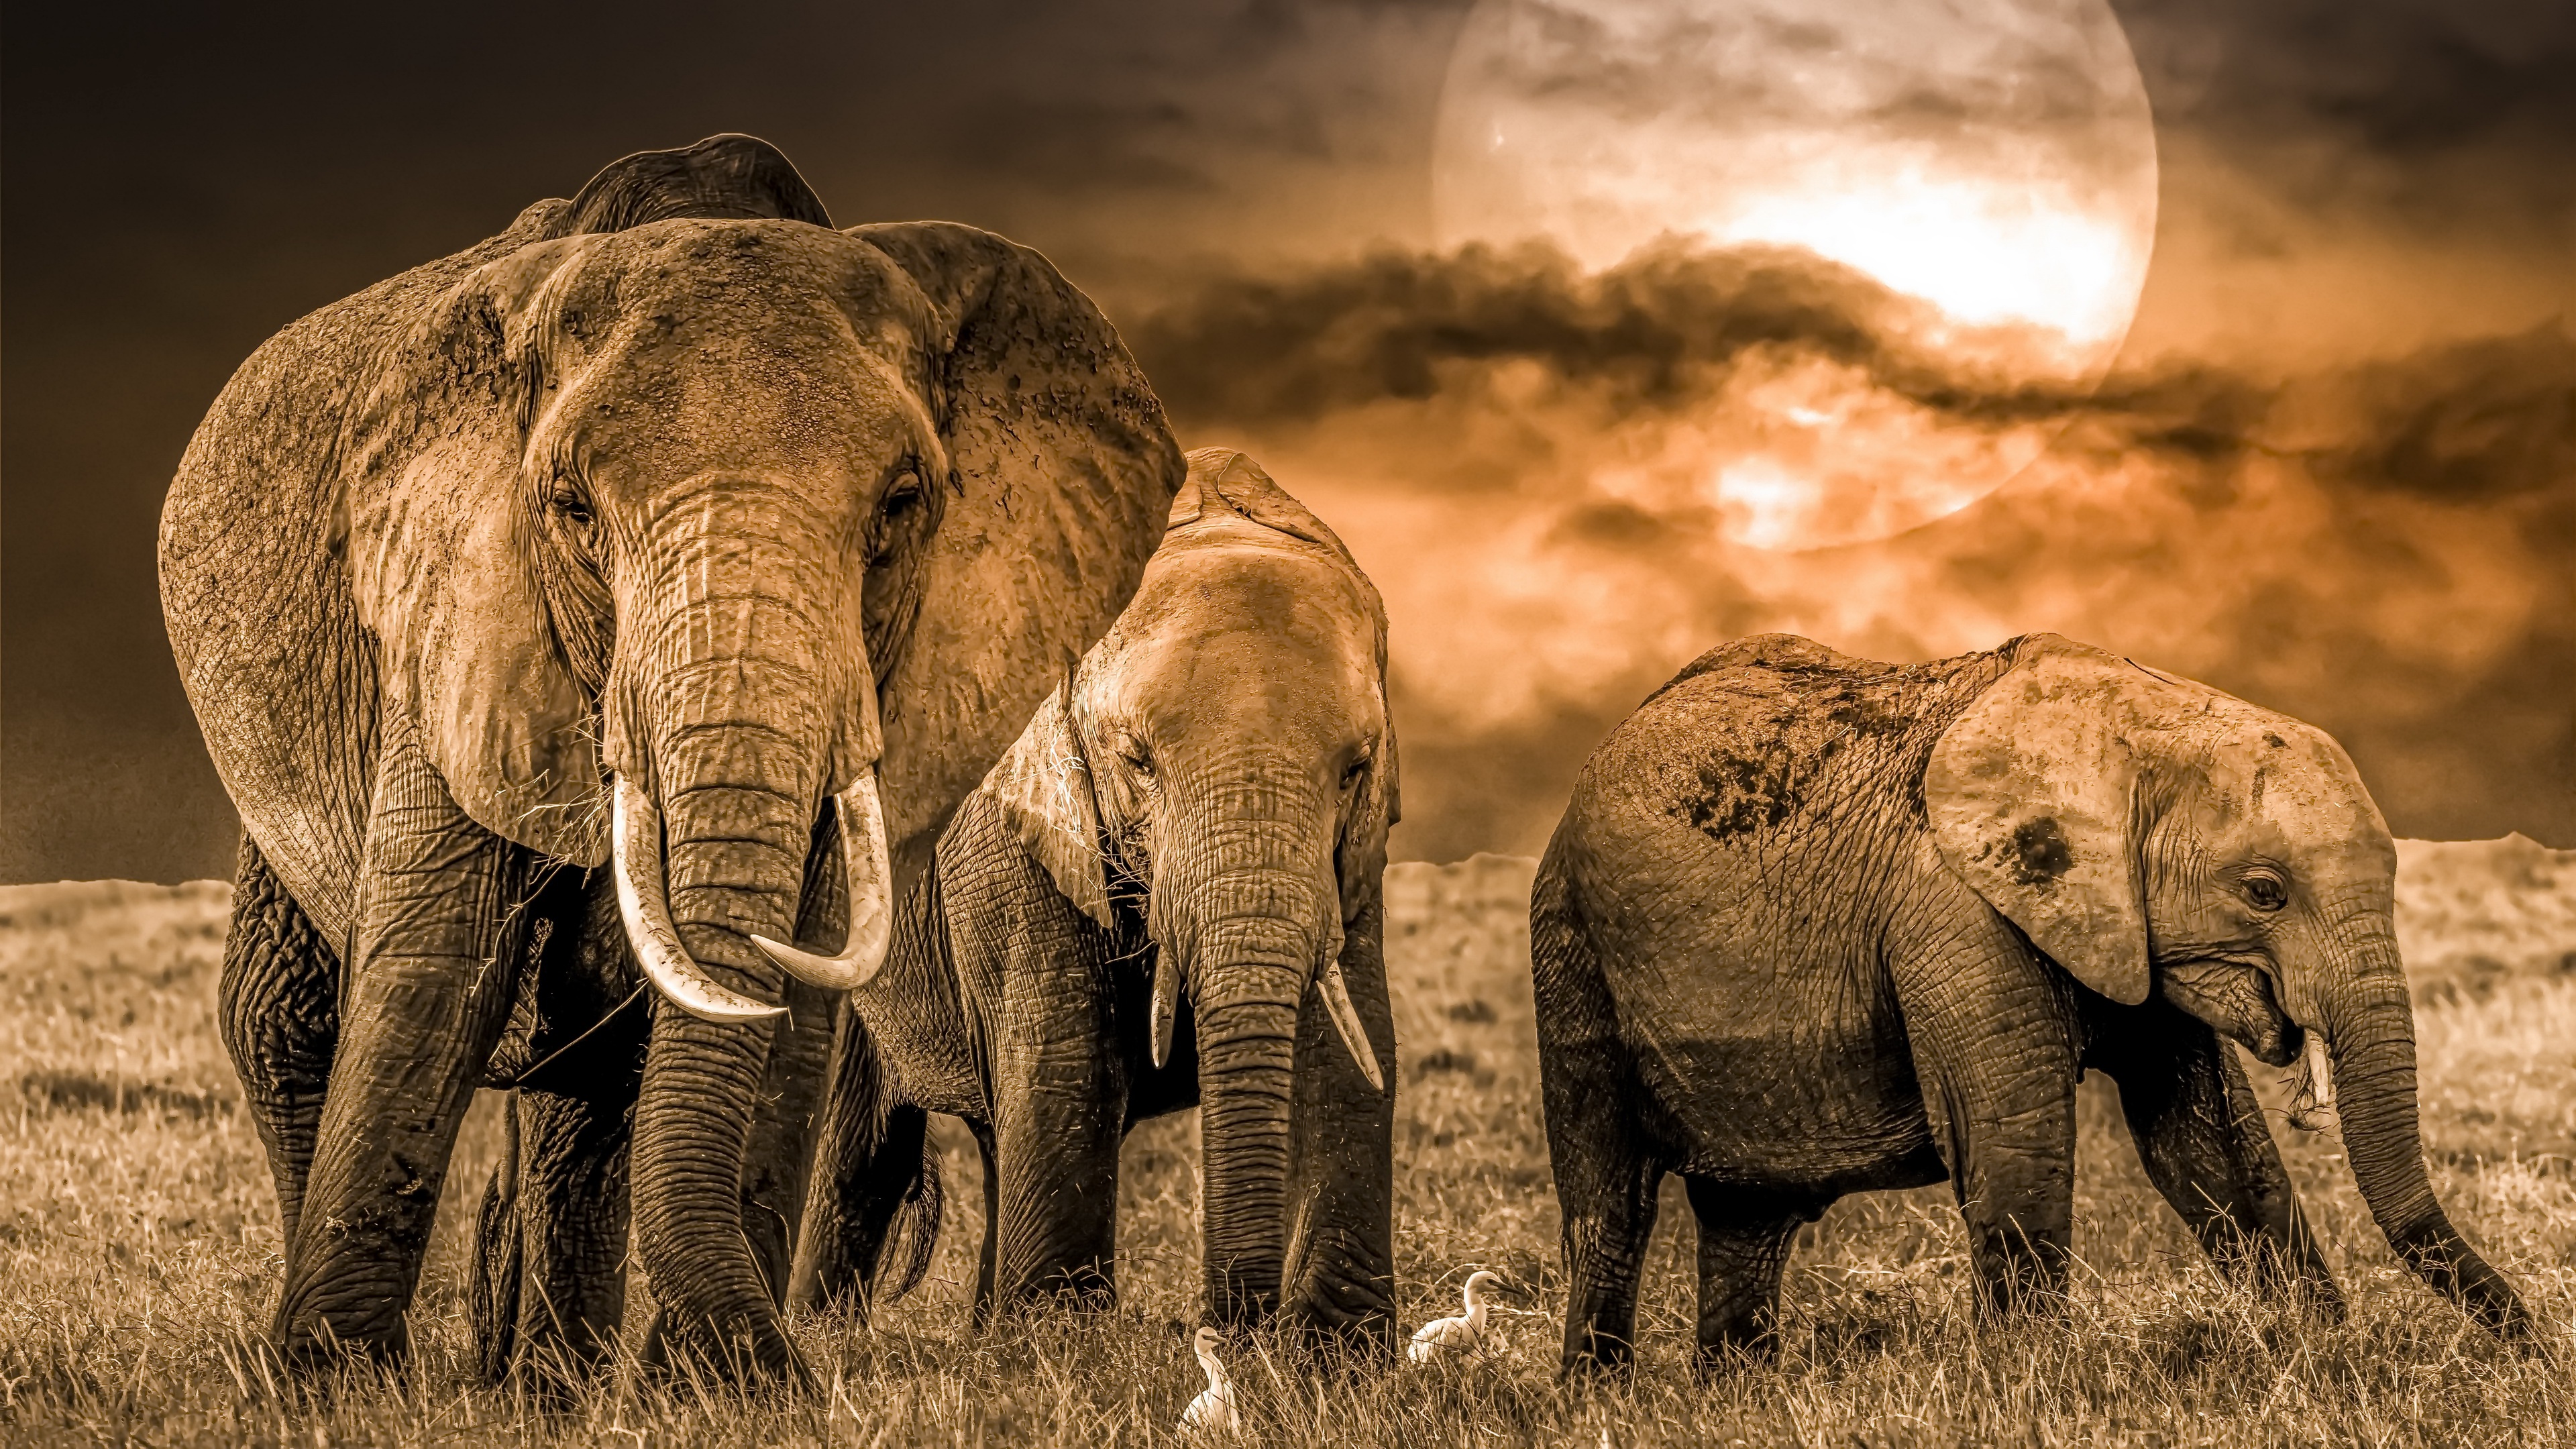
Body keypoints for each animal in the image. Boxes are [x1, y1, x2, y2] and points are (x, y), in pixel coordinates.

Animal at [150, 132, 1179, 1371]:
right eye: (572, 510)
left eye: (899, 507)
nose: (769, 1361)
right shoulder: (454, 610)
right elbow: (436, 957)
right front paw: (330, 1383)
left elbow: (793, 991)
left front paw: (710, 1384)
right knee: (287, 1019)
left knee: (578, 1086)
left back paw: (548, 1385)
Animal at [788, 448, 1401, 1340]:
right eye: (1137, 761)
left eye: (1356, 769)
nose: (1230, 1327)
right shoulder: (1013, 834)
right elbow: (1064, 1059)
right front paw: (1063, 1345)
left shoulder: (1353, 861)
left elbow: (1348, 1048)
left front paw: (1335, 1355)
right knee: (861, 1153)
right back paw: (826, 1337)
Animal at [1525, 629, 2534, 1361]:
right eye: (2263, 891)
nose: (2531, 1344)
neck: (2142, 721)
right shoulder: (1955, 908)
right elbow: (2013, 1138)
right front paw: (2035, 1387)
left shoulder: (2123, 922)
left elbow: (2211, 1146)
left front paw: (2326, 1359)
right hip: (1567, 942)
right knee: (1609, 1202)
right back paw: (1598, 1399)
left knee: (1749, 1215)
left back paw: (1740, 1395)